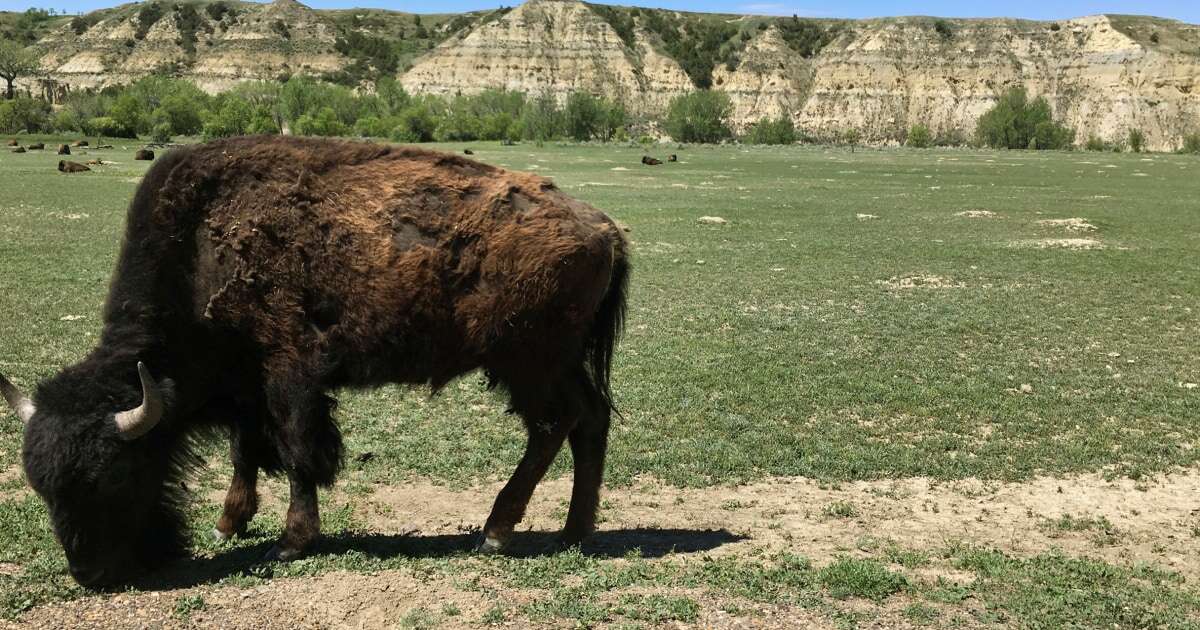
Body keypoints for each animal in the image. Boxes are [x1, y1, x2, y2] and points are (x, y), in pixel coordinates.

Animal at [1, 135, 630, 588]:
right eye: (41, 487)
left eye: (113, 474)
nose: (90, 573)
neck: (199, 248)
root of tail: (604, 228)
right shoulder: (247, 385)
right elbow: (248, 450)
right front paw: (229, 522)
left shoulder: (289, 374)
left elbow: (297, 451)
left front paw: (291, 540)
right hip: (556, 362)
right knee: (590, 420)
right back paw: (574, 532)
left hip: (527, 363)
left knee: (553, 425)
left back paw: (497, 532)